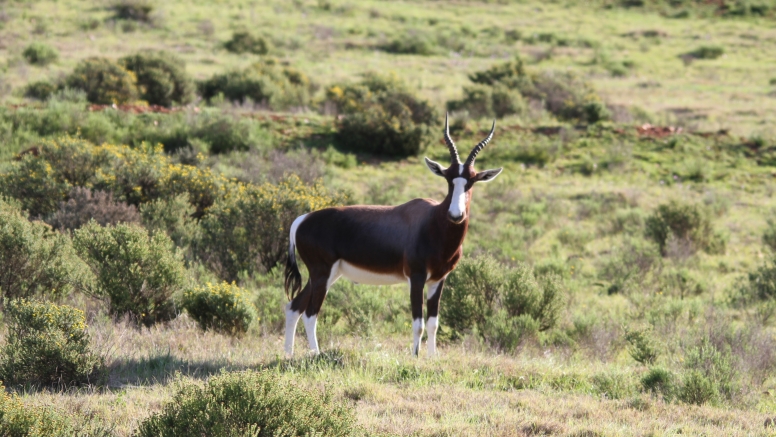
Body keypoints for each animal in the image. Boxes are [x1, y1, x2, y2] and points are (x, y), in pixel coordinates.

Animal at [284, 115, 504, 354]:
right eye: (448, 178)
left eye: (471, 180)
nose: (456, 215)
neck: (432, 221)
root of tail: (301, 219)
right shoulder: (416, 277)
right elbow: (418, 323)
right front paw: (415, 356)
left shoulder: (438, 280)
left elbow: (433, 323)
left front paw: (432, 357)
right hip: (322, 273)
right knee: (310, 314)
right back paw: (315, 354)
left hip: (326, 275)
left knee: (294, 307)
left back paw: (288, 354)